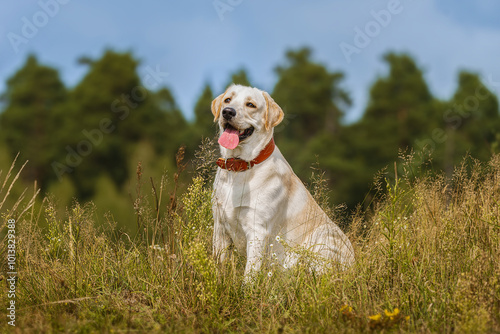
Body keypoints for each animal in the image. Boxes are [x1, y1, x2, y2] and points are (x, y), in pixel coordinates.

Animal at [211, 84, 356, 276]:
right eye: (228, 100)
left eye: (250, 104)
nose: (227, 112)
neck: (239, 168)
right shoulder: (219, 227)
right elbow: (218, 267)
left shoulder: (257, 231)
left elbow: (249, 275)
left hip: (323, 236)